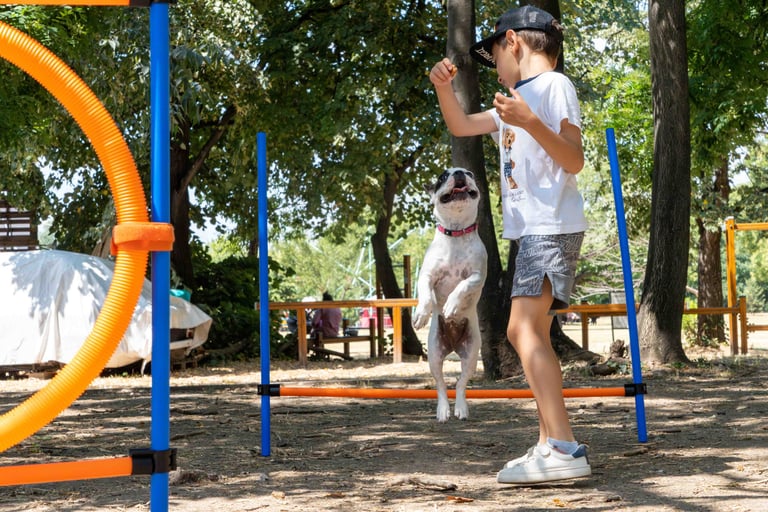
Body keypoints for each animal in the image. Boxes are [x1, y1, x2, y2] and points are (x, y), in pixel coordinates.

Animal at [413, 167, 487, 422]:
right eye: (443, 177)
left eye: (470, 174)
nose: (459, 172)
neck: (456, 232)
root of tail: (453, 346)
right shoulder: (426, 275)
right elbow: (425, 294)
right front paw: (422, 314)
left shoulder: (477, 276)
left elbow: (462, 286)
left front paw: (452, 305)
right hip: (434, 355)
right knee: (441, 385)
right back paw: (443, 409)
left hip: (471, 353)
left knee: (461, 384)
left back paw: (460, 408)